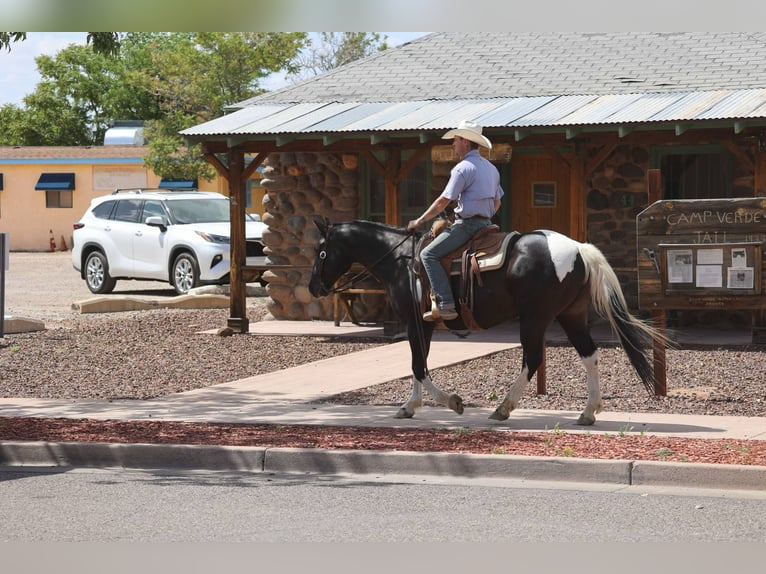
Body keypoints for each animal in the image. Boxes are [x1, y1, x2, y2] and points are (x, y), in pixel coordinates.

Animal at [308, 217, 663, 426]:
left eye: (321, 251)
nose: (313, 287)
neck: (401, 261)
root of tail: (578, 249)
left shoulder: (414, 321)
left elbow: (418, 366)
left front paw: (451, 402)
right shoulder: (421, 324)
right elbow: (418, 363)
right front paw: (410, 406)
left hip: (535, 318)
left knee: (532, 358)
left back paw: (503, 407)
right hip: (570, 315)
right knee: (589, 355)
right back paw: (588, 411)